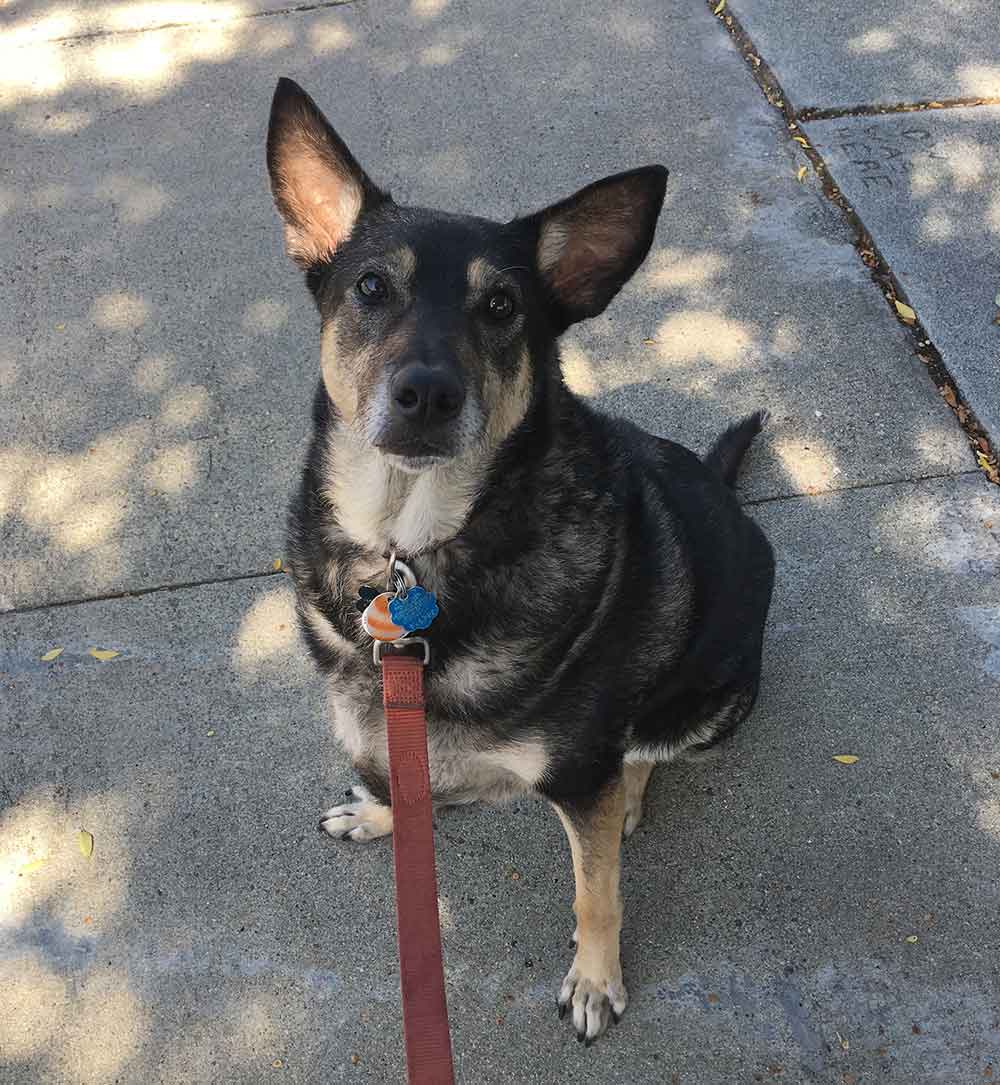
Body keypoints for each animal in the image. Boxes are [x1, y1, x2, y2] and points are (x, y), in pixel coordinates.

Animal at [264, 76, 772, 1041]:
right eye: (372, 286)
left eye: (501, 306)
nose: (427, 393)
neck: (411, 546)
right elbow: (408, 790)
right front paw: (380, 813)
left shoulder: (578, 777)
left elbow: (596, 889)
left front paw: (596, 977)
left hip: (707, 703)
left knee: (642, 755)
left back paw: (635, 789)